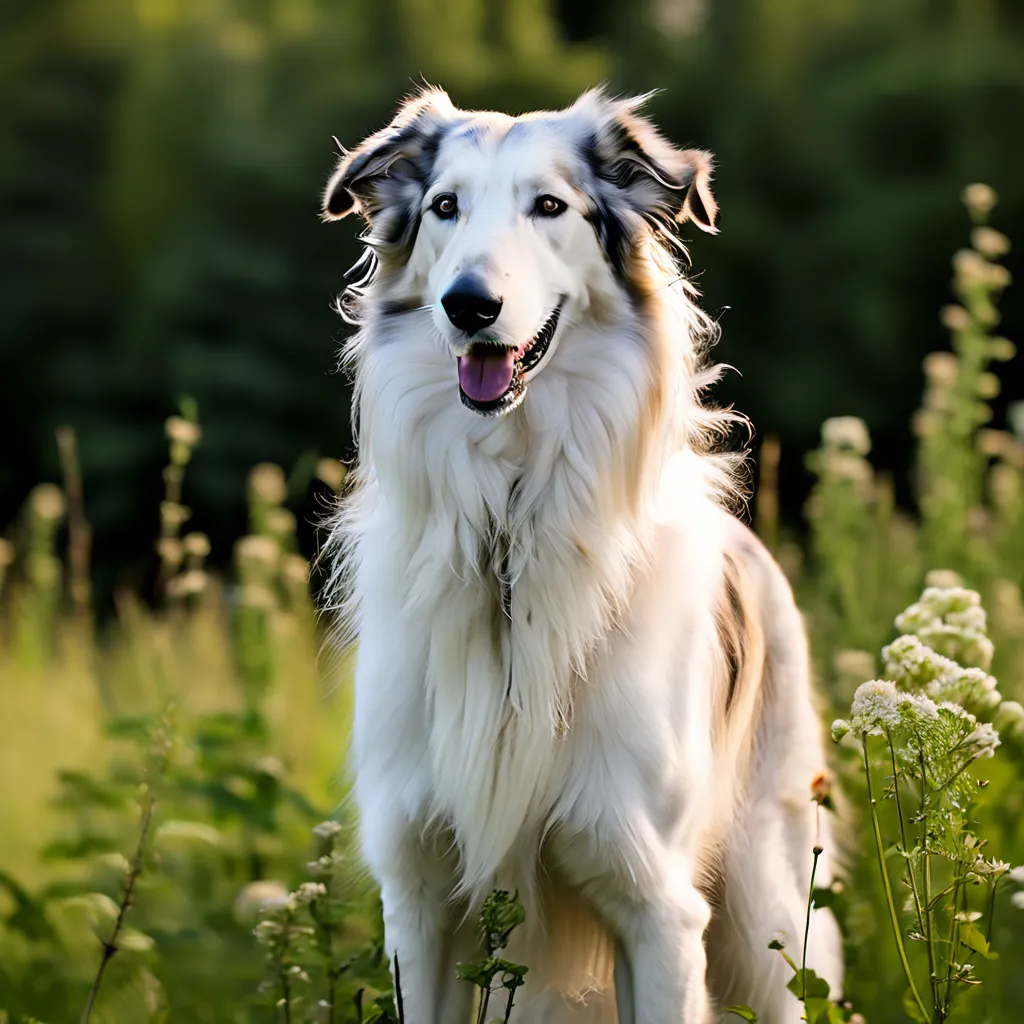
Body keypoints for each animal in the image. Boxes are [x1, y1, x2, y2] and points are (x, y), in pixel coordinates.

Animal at [323, 88, 843, 1024]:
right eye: (445, 207)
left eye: (549, 206)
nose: (468, 304)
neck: (509, 534)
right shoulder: (418, 903)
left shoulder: (656, 909)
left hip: (772, 912)